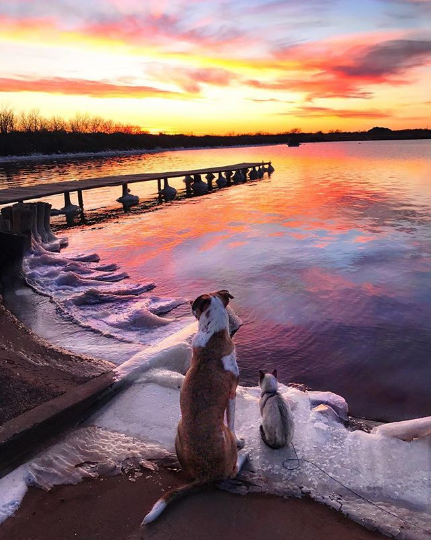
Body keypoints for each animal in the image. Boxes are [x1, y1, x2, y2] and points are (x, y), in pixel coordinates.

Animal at [143, 292, 246, 524]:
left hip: (178, 429)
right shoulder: (232, 394)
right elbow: (233, 421)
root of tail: (204, 475)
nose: (190, 303)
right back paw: (244, 456)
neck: (213, 335)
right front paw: (240, 441)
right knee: (233, 470)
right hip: (224, 439)